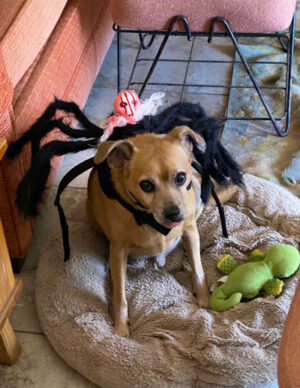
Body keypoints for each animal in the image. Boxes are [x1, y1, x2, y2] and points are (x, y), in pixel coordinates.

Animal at [87, 126, 239, 336]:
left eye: (181, 177)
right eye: (146, 185)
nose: (174, 214)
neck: (149, 218)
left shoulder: (190, 231)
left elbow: (198, 270)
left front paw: (205, 301)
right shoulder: (118, 251)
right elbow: (120, 294)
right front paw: (121, 327)